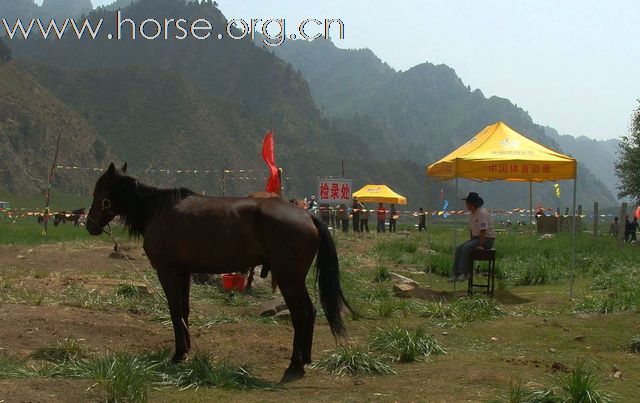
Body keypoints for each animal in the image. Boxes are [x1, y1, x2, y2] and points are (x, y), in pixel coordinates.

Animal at [85, 163, 352, 382]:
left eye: (98, 193)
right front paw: (186, 350)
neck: (157, 210)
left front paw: (178, 353)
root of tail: (308, 215)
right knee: (310, 312)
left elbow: (174, 312)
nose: (90, 225)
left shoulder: (167, 272)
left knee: (301, 315)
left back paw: (294, 365)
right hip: (296, 280)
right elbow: (184, 311)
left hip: (288, 280)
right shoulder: (183, 273)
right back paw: (304, 359)